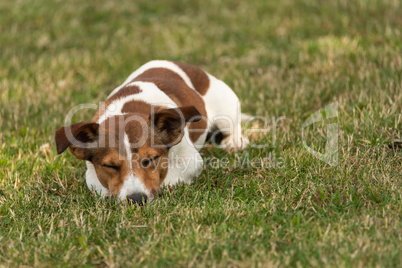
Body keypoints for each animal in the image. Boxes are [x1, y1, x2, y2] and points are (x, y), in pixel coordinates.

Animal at [53, 60, 248, 203]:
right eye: (110, 166)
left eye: (151, 160)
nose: (137, 199)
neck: (128, 110)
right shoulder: (91, 173)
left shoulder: (191, 160)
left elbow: (171, 178)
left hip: (226, 110)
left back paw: (235, 141)